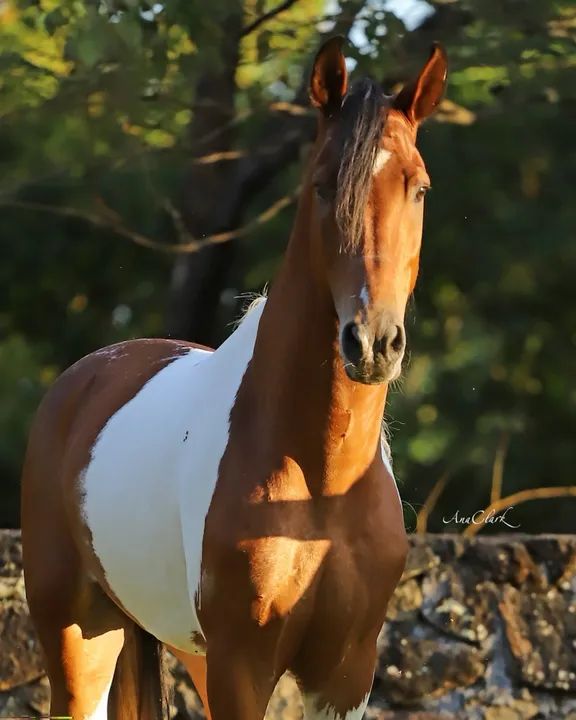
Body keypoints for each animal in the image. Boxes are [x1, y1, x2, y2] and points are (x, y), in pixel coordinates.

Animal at [21, 37, 447, 720]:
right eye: (323, 186)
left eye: (419, 188)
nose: (373, 342)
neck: (319, 481)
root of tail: (84, 379)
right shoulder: (239, 667)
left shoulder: (345, 674)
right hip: (80, 641)